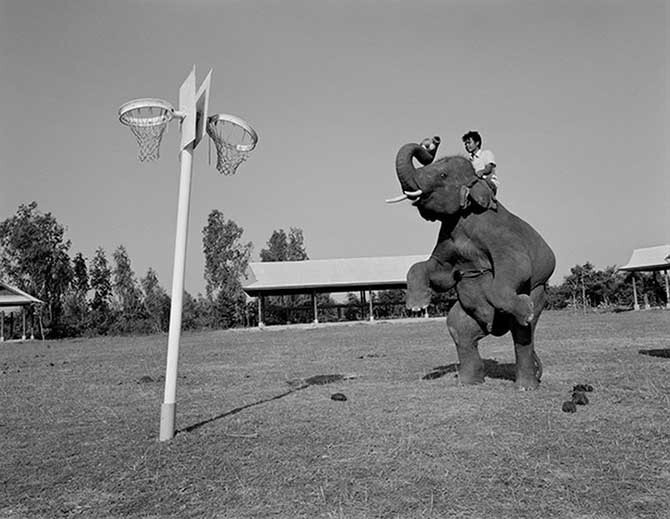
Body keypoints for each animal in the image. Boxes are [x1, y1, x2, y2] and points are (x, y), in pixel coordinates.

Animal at [388, 135, 556, 390]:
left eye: (443, 175)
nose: (432, 140)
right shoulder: (446, 239)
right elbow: (438, 272)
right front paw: (416, 306)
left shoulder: (499, 233)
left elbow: (517, 265)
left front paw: (525, 311)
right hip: (468, 315)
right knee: (459, 329)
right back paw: (469, 382)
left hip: (538, 292)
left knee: (522, 335)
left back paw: (525, 385)